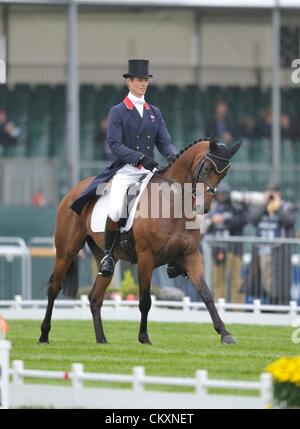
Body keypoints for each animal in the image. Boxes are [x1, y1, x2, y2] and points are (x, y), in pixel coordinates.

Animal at [39, 139, 241, 346]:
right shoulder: (146, 258)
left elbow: (206, 294)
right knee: (54, 288)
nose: (204, 207)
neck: (171, 203)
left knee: (95, 296)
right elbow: (145, 301)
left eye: (224, 173)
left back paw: (101, 340)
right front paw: (144, 337)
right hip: (66, 251)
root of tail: (72, 191)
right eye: (207, 167)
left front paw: (225, 334)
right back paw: (44, 335)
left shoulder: (191, 255)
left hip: (107, 257)